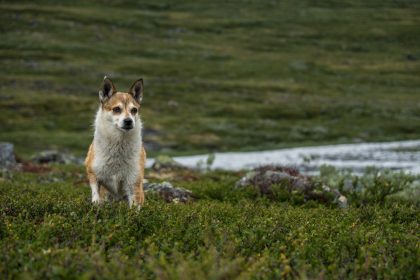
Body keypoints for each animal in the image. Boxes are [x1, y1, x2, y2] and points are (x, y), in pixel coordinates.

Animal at [83, 76, 146, 208]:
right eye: (117, 109)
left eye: (134, 110)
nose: (128, 121)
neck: (118, 144)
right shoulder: (93, 172)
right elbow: (95, 193)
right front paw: (96, 204)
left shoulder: (133, 182)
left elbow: (134, 207)